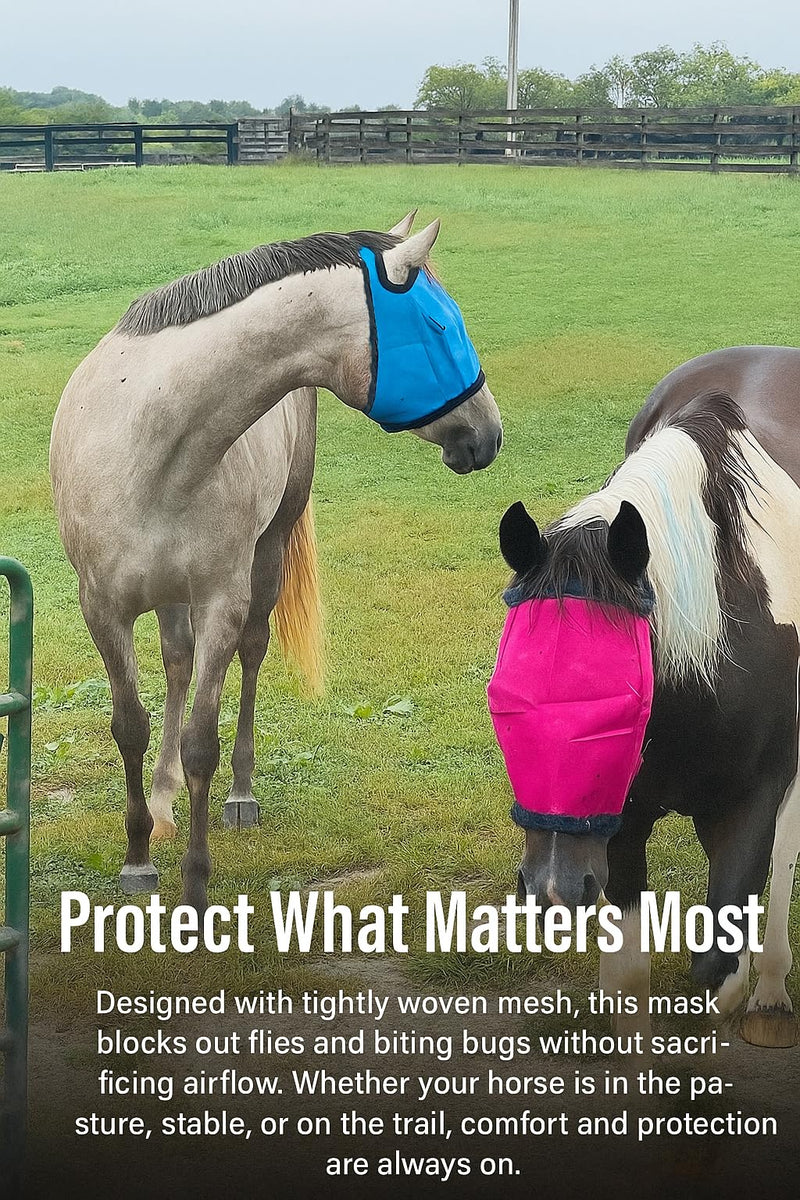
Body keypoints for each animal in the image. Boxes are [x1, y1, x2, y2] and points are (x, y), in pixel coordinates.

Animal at [50, 213, 502, 912]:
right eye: (436, 325)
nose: (488, 433)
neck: (148, 444)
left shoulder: (221, 602)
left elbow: (201, 740)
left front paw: (196, 884)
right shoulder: (103, 610)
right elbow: (130, 726)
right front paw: (137, 858)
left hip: (265, 559)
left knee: (249, 654)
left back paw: (238, 796)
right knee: (176, 664)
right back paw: (162, 800)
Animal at [490, 366, 800, 1050]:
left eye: (622, 711)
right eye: (504, 703)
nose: (551, 890)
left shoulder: (752, 799)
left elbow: (717, 969)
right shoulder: (619, 824)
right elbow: (634, 981)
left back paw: (770, 990)